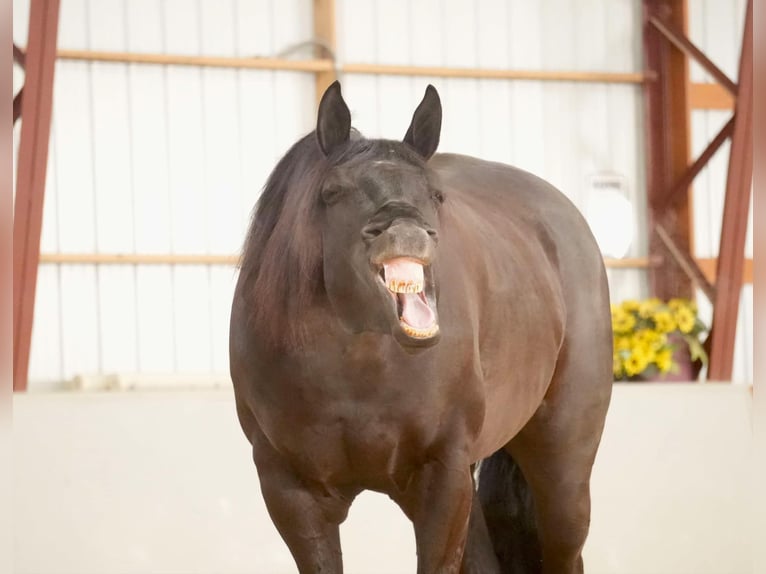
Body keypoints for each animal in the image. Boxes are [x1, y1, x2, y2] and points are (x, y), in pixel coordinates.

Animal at [231, 82, 616, 574]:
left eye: (436, 194)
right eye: (333, 191)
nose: (408, 232)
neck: (358, 368)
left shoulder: (443, 474)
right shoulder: (290, 489)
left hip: (563, 466)